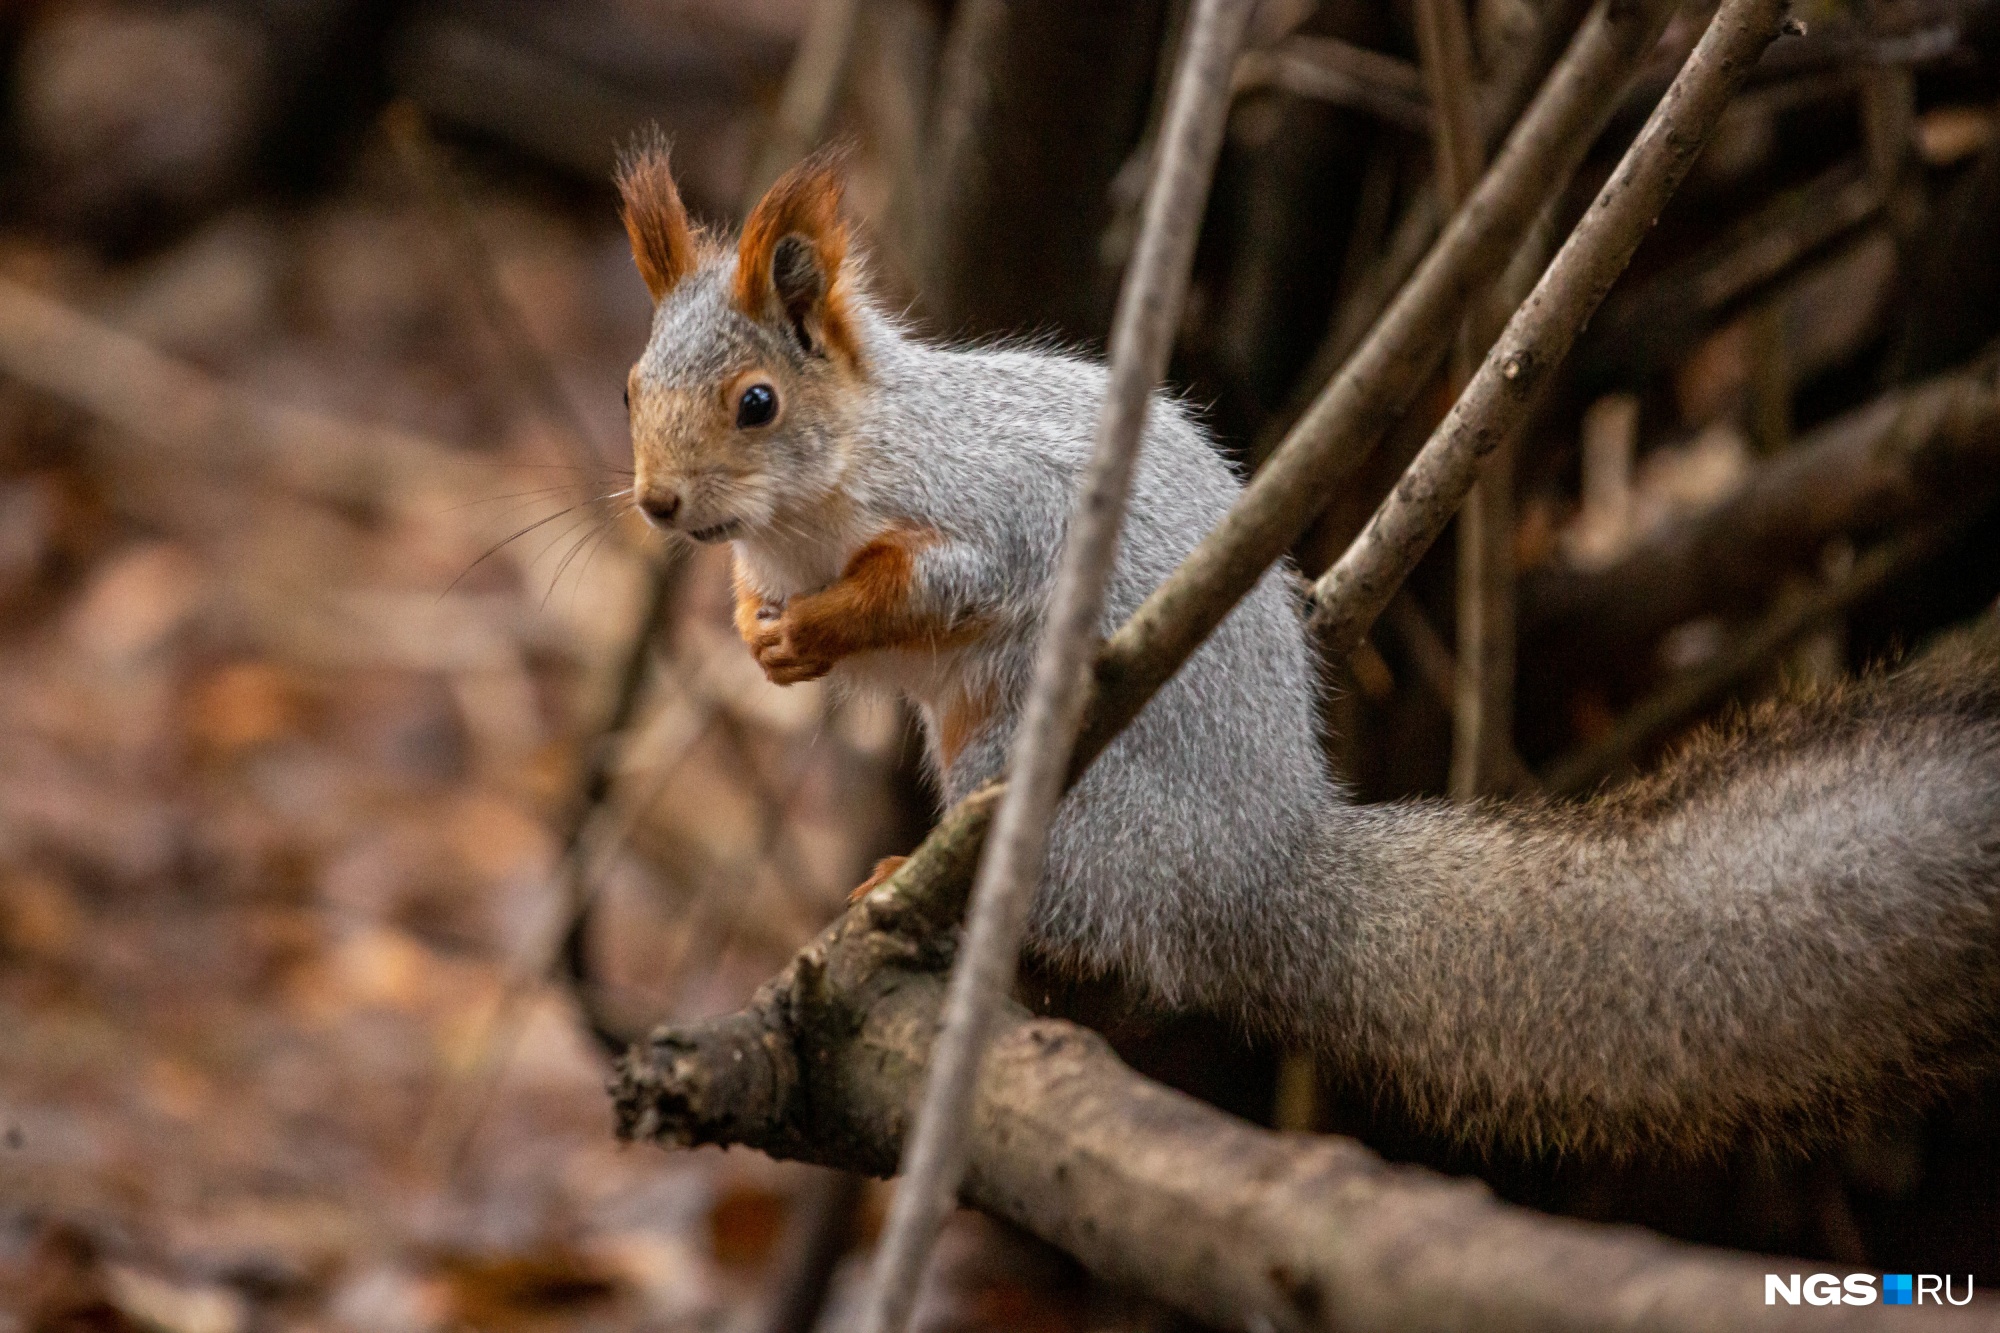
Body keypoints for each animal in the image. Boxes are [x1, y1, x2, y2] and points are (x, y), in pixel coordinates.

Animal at [612, 145, 2000, 1160]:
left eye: (756, 404)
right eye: (630, 387)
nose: (658, 507)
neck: (811, 506)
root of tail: (1254, 870)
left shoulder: (991, 509)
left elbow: (948, 583)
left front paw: (827, 624)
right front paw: (757, 633)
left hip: (1029, 770)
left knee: (1089, 918)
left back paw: (919, 888)